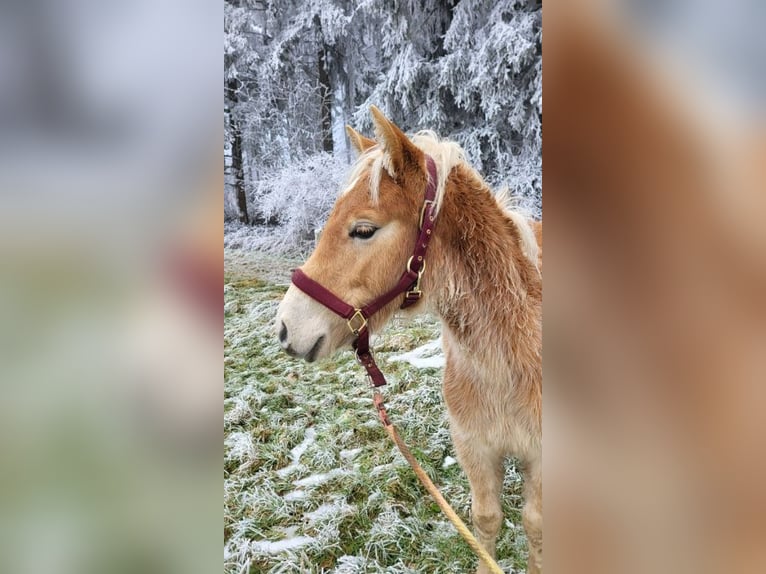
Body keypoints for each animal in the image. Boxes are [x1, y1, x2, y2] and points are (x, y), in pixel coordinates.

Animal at [276, 107, 544, 572]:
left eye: (364, 230)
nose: (288, 328)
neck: (508, 360)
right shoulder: (474, 449)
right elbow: (487, 521)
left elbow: (537, 530)